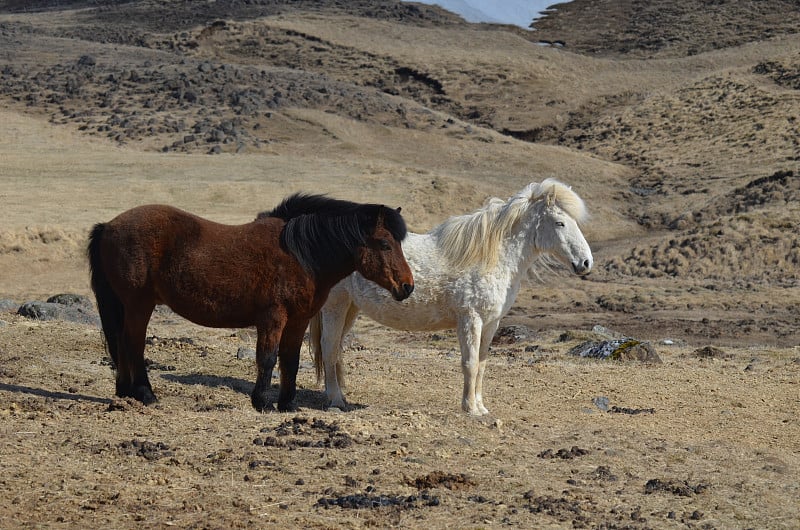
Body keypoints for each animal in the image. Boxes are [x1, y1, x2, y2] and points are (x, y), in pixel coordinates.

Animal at [86, 192, 412, 410]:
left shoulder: (299, 320)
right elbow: (267, 358)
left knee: (121, 341)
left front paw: (288, 405)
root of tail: (109, 226)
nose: (407, 287)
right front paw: (262, 402)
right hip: (139, 303)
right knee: (133, 343)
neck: (299, 254)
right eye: (385, 244)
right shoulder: (273, 317)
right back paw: (145, 393)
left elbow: (290, 360)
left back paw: (125, 391)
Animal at [310, 179, 592, 414]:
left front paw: (481, 407)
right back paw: (336, 400)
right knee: (329, 347)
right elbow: (470, 363)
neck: (491, 256)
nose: (586, 263)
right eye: (560, 222)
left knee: (336, 350)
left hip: (351, 308)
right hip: (335, 305)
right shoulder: (470, 319)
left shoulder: (491, 323)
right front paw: (470, 409)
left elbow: (482, 364)